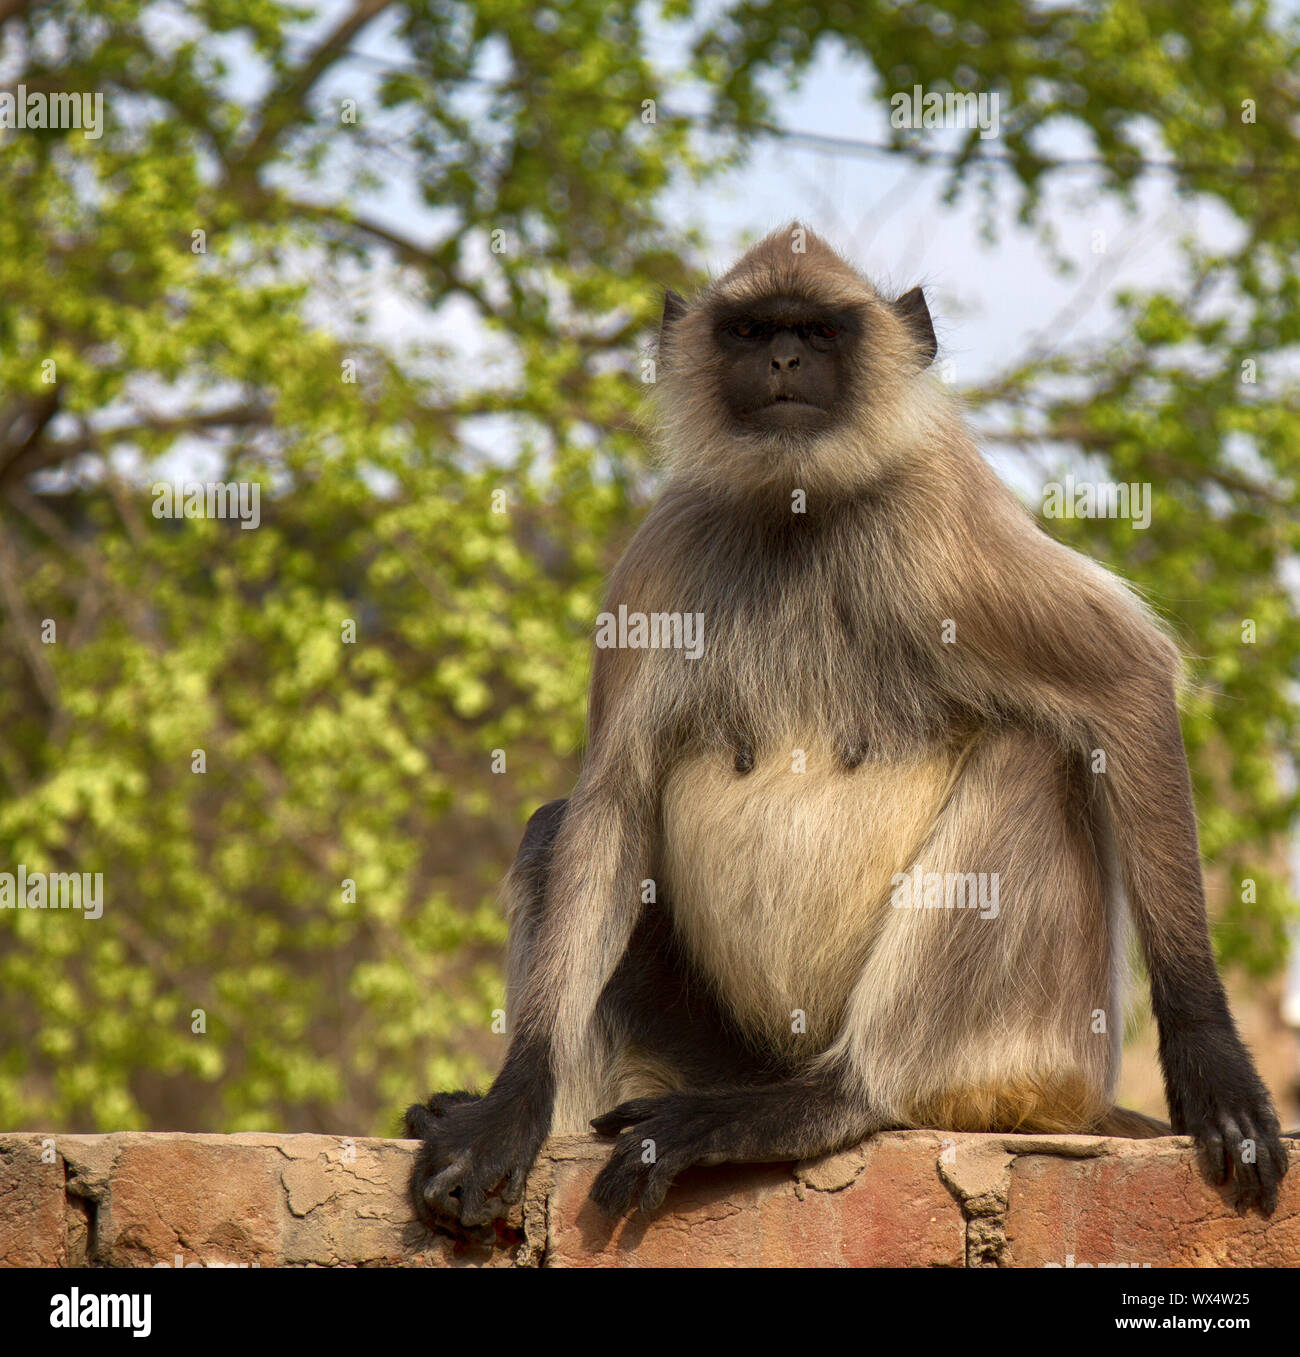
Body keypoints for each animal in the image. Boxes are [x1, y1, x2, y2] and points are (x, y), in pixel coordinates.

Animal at [409, 225, 1291, 1232]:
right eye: (753, 331)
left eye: (822, 331)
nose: (785, 361)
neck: (800, 509)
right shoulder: (663, 552)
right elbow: (611, 800)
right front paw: (510, 1105)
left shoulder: (941, 512)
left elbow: (1128, 681)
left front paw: (1213, 1061)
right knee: (555, 825)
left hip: (1039, 1053)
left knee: (1031, 756)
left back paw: (827, 1100)